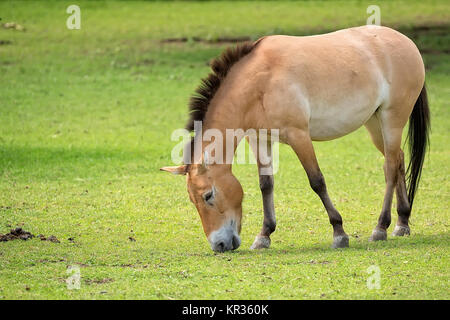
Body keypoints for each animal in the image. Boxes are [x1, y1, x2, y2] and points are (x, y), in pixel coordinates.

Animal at [161, 25, 428, 252]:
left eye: (208, 196)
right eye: (193, 200)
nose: (219, 245)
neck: (260, 82)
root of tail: (406, 42)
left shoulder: (299, 135)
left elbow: (317, 181)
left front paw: (339, 233)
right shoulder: (259, 139)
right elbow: (266, 184)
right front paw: (264, 236)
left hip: (392, 119)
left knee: (391, 167)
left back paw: (381, 227)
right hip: (375, 124)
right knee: (397, 160)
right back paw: (402, 223)